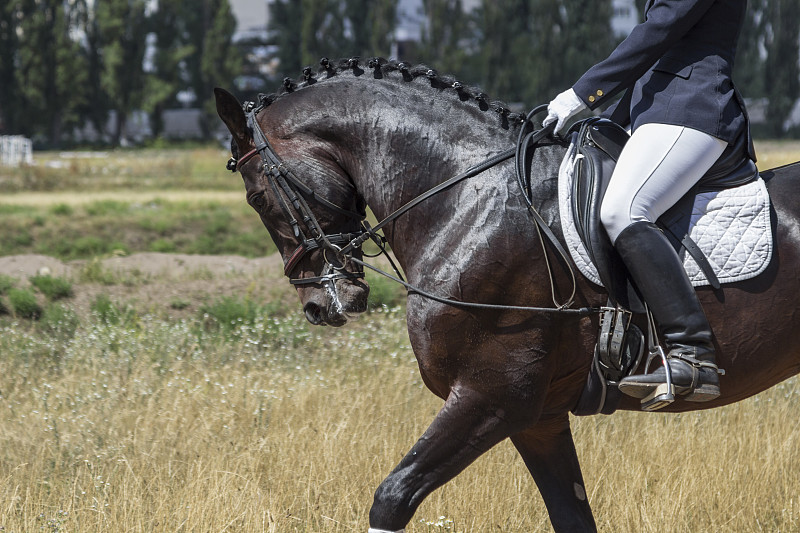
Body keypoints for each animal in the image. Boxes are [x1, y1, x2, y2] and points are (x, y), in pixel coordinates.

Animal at [212, 56, 800, 528]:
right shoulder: (538, 419)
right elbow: (571, 516)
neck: (468, 202)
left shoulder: (492, 395)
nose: (319, 304)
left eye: (258, 197)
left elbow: (392, 498)